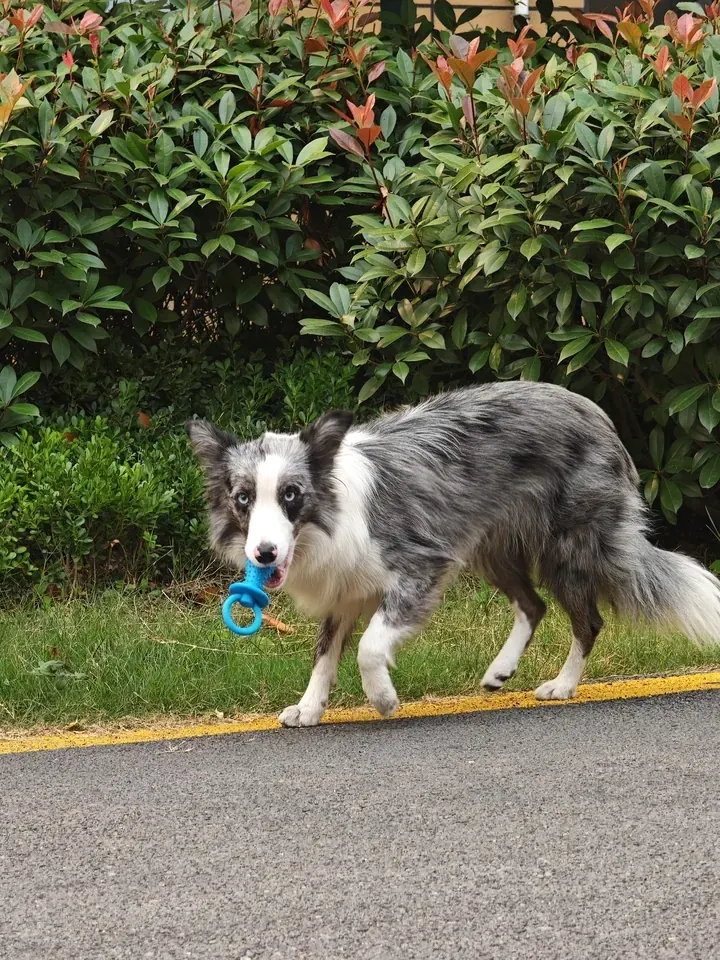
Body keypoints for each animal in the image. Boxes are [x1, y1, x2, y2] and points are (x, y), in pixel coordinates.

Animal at [187, 382, 720, 728]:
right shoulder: (345, 589)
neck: (326, 515)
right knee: (533, 605)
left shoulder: (421, 567)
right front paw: (310, 707)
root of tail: (599, 415)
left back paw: (563, 686)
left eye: (291, 495)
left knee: (587, 620)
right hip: (493, 549)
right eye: (243, 499)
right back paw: (501, 670)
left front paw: (383, 698)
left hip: (570, 549)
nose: (264, 554)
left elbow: (368, 647)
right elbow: (325, 652)